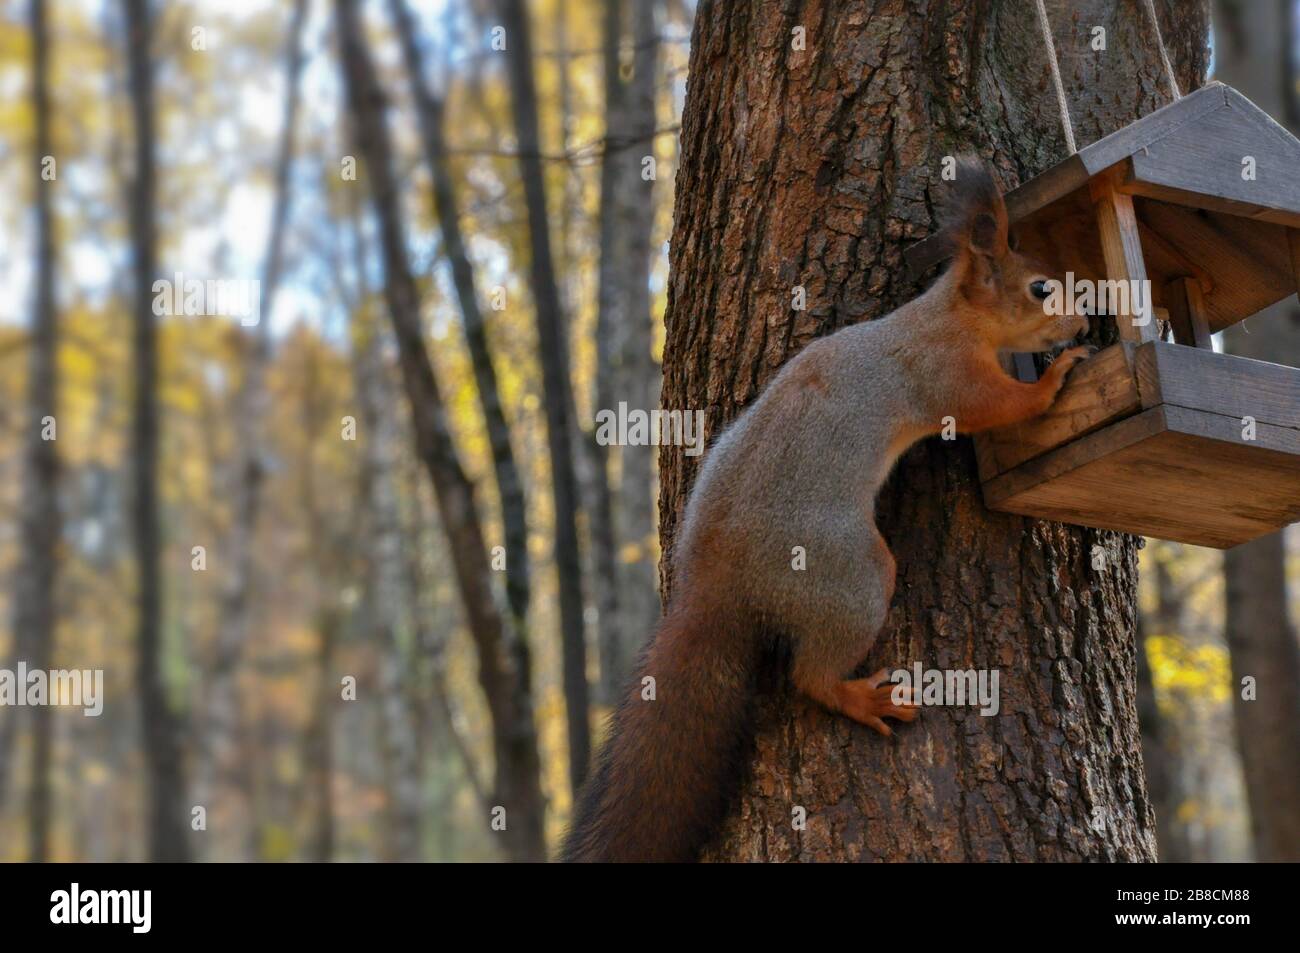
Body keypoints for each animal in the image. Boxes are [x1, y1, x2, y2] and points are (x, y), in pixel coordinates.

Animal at [564, 157, 1092, 863]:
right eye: (1040, 288)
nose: (1084, 327)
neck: (948, 317)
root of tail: (714, 584)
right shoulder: (948, 377)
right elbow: (1006, 406)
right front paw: (1057, 378)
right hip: (850, 574)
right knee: (809, 676)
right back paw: (864, 698)